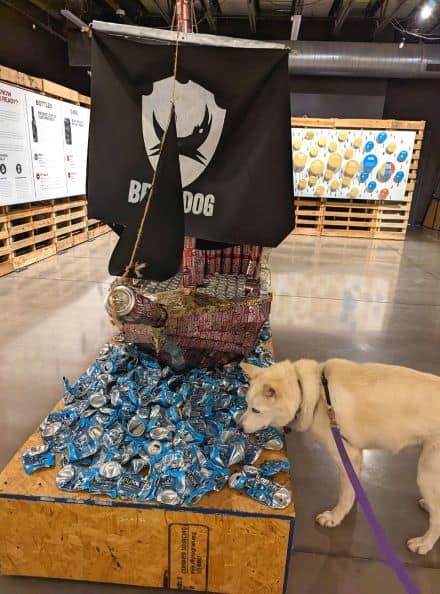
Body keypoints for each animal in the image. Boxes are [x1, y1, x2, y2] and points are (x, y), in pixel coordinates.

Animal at [239, 356, 440, 556]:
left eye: (256, 410)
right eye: (246, 404)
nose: (238, 427)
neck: (315, 394)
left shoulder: (346, 456)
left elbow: (345, 494)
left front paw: (335, 517)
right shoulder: (356, 456)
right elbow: (353, 487)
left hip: (426, 475)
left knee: (437, 519)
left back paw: (424, 543)